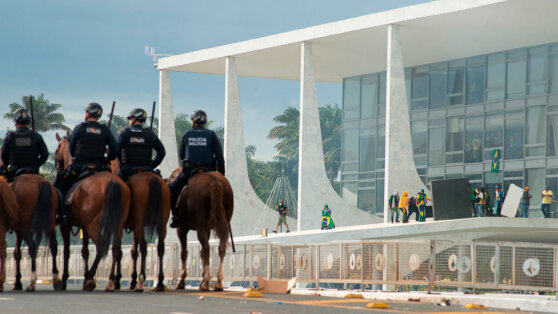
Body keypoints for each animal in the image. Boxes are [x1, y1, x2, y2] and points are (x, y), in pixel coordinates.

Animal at [55, 134, 132, 290]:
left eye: (57, 148)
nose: (57, 165)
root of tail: (112, 182)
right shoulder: (83, 227)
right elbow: (85, 251)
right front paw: (84, 277)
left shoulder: (65, 225)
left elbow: (66, 251)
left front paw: (65, 278)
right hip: (117, 224)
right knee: (116, 249)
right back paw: (110, 280)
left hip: (93, 225)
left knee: (102, 246)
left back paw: (92, 277)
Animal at [110, 159, 170, 292]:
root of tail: (153, 179)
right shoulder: (135, 227)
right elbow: (133, 252)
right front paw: (132, 280)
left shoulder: (119, 226)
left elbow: (119, 251)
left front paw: (117, 280)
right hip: (161, 223)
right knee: (160, 247)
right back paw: (160, 282)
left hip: (140, 222)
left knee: (144, 246)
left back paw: (142, 278)